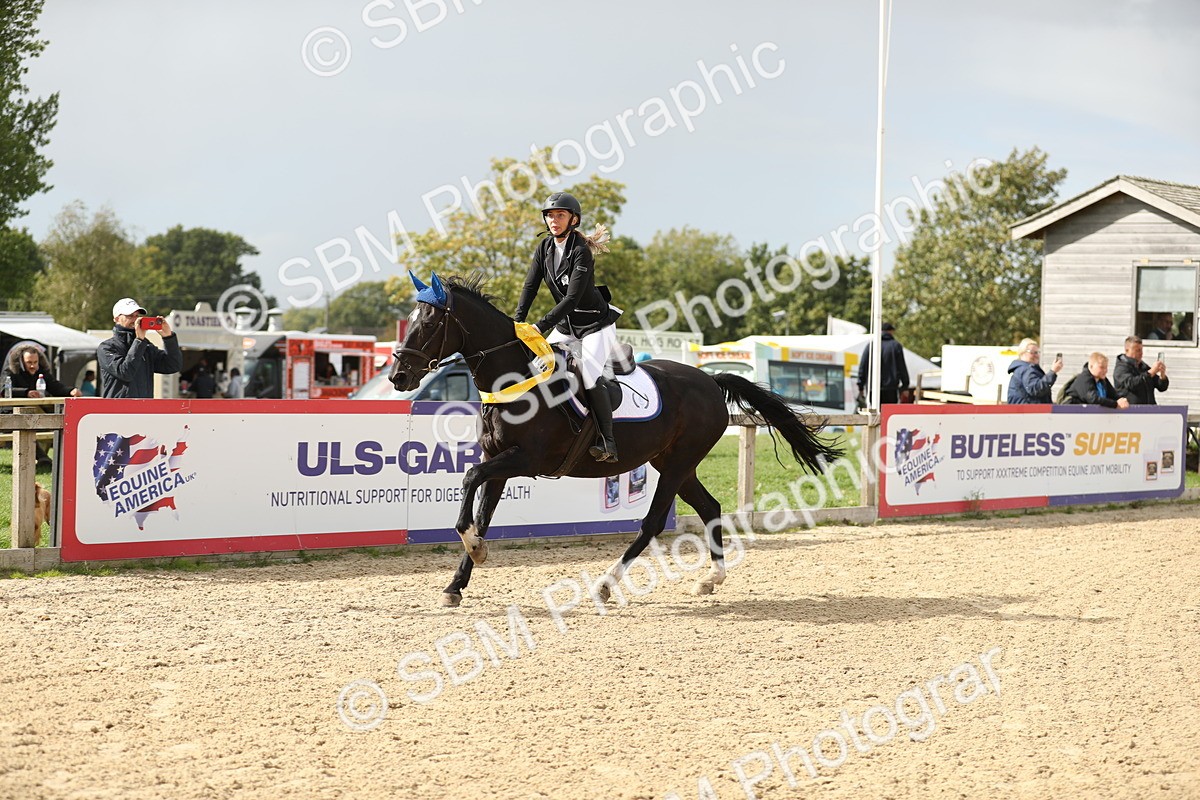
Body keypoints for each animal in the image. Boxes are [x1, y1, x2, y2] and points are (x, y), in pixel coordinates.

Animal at [389, 272, 842, 607]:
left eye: (428, 323)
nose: (398, 377)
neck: (514, 382)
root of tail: (710, 380)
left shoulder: (527, 460)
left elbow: (469, 481)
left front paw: (476, 550)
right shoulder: (498, 461)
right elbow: (480, 512)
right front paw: (458, 581)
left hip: (678, 463)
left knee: (653, 523)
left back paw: (606, 585)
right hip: (674, 463)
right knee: (710, 507)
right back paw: (711, 579)